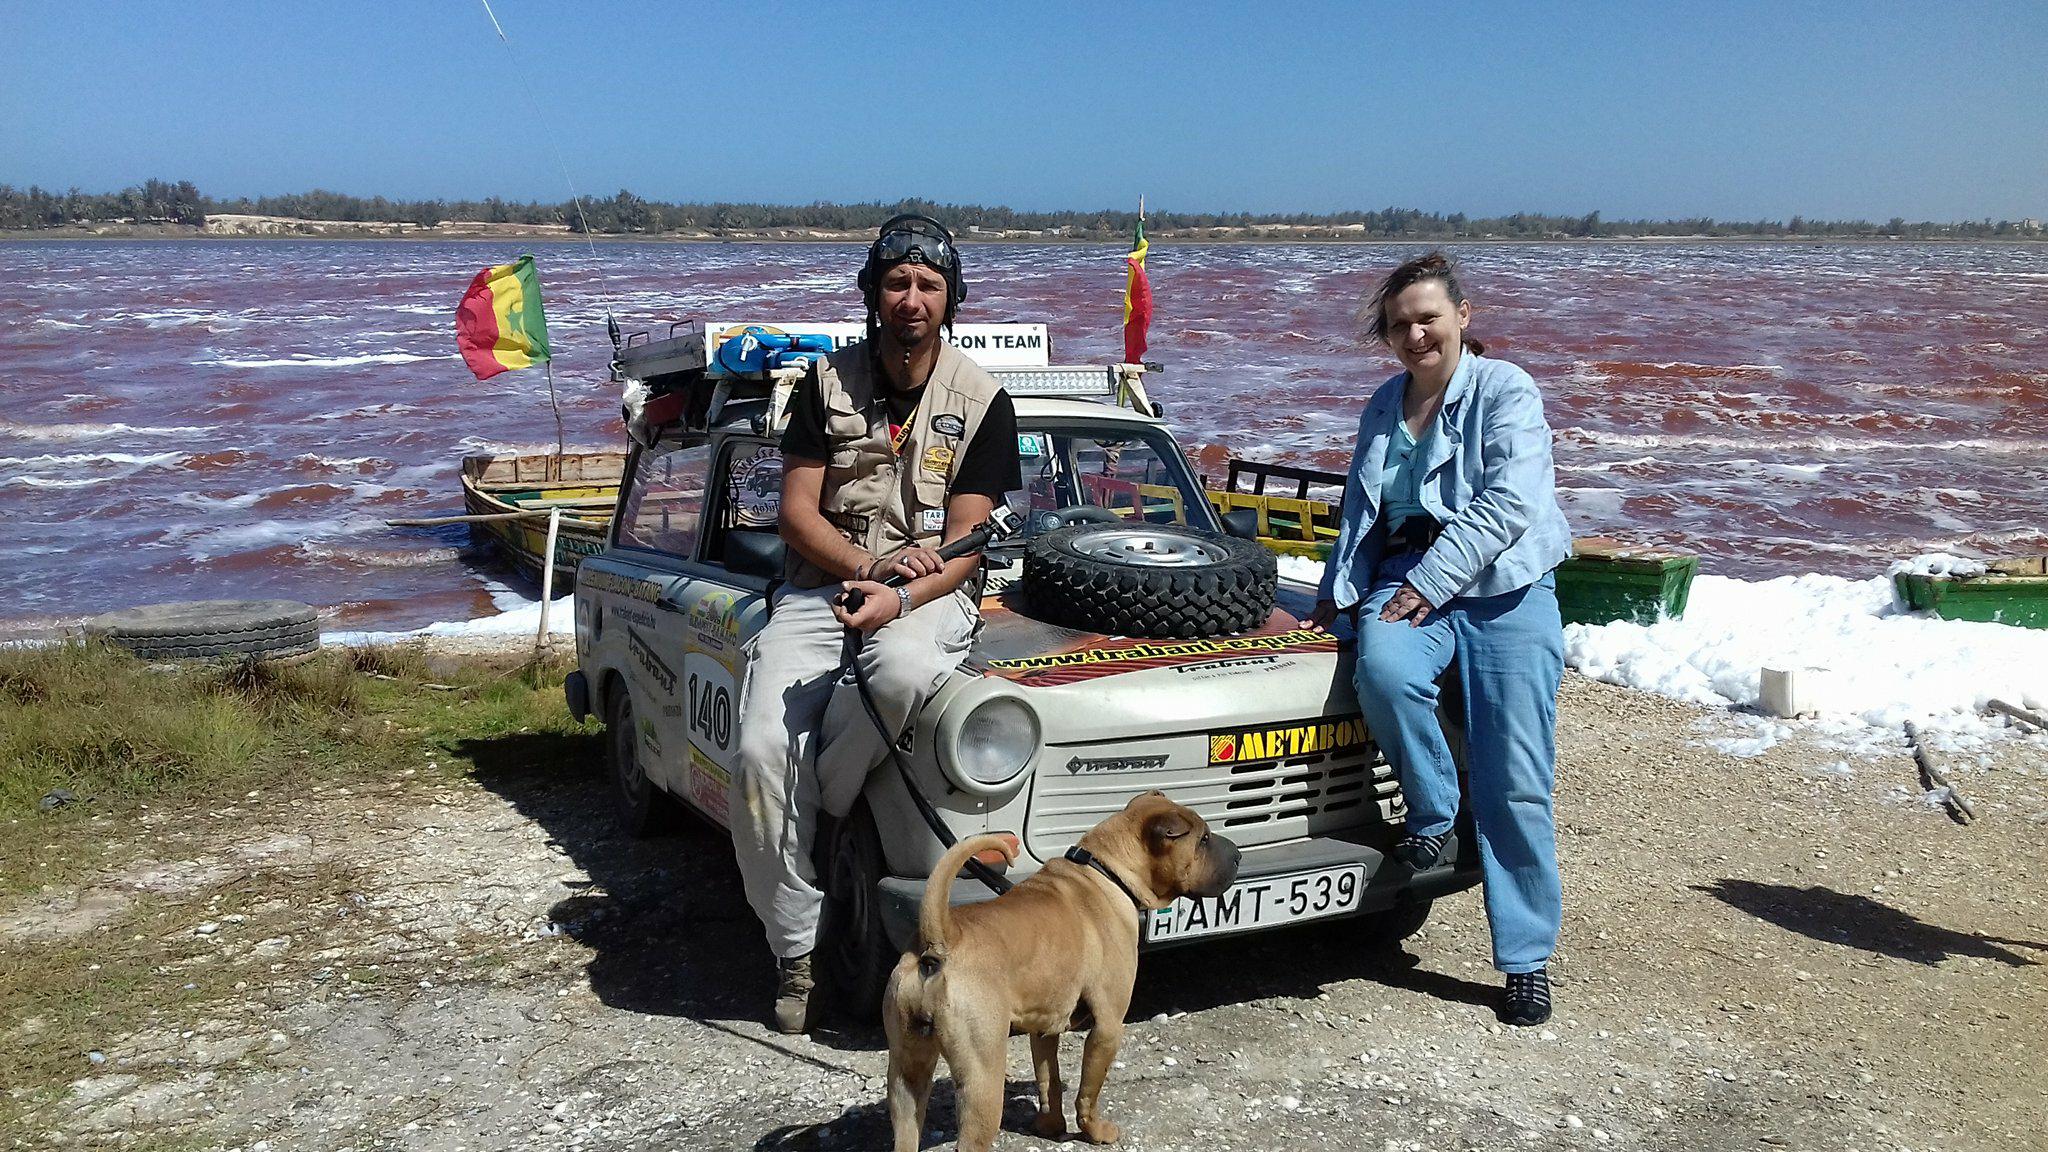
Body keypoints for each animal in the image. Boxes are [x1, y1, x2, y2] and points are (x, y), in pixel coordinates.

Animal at [876, 787, 1228, 1147]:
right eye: (1203, 839)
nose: (1237, 855)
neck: (1106, 872)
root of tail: (940, 940)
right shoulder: (1108, 1027)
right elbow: (1088, 1093)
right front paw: (1095, 1131)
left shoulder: (1044, 1029)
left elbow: (1050, 1082)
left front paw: (1050, 1126)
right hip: (981, 1078)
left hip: (906, 1076)